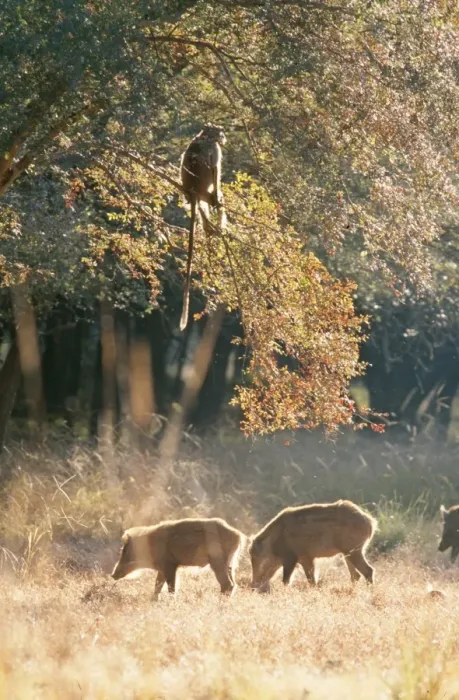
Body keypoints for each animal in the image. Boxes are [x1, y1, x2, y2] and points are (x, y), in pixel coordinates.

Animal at [112, 517, 244, 599]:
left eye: (124, 550)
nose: (112, 575)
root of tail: (239, 535)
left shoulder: (170, 565)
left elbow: (171, 588)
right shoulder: (162, 568)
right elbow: (157, 586)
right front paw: (154, 601)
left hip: (218, 561)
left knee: (227, 584)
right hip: (230, 563)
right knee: (233, 584)